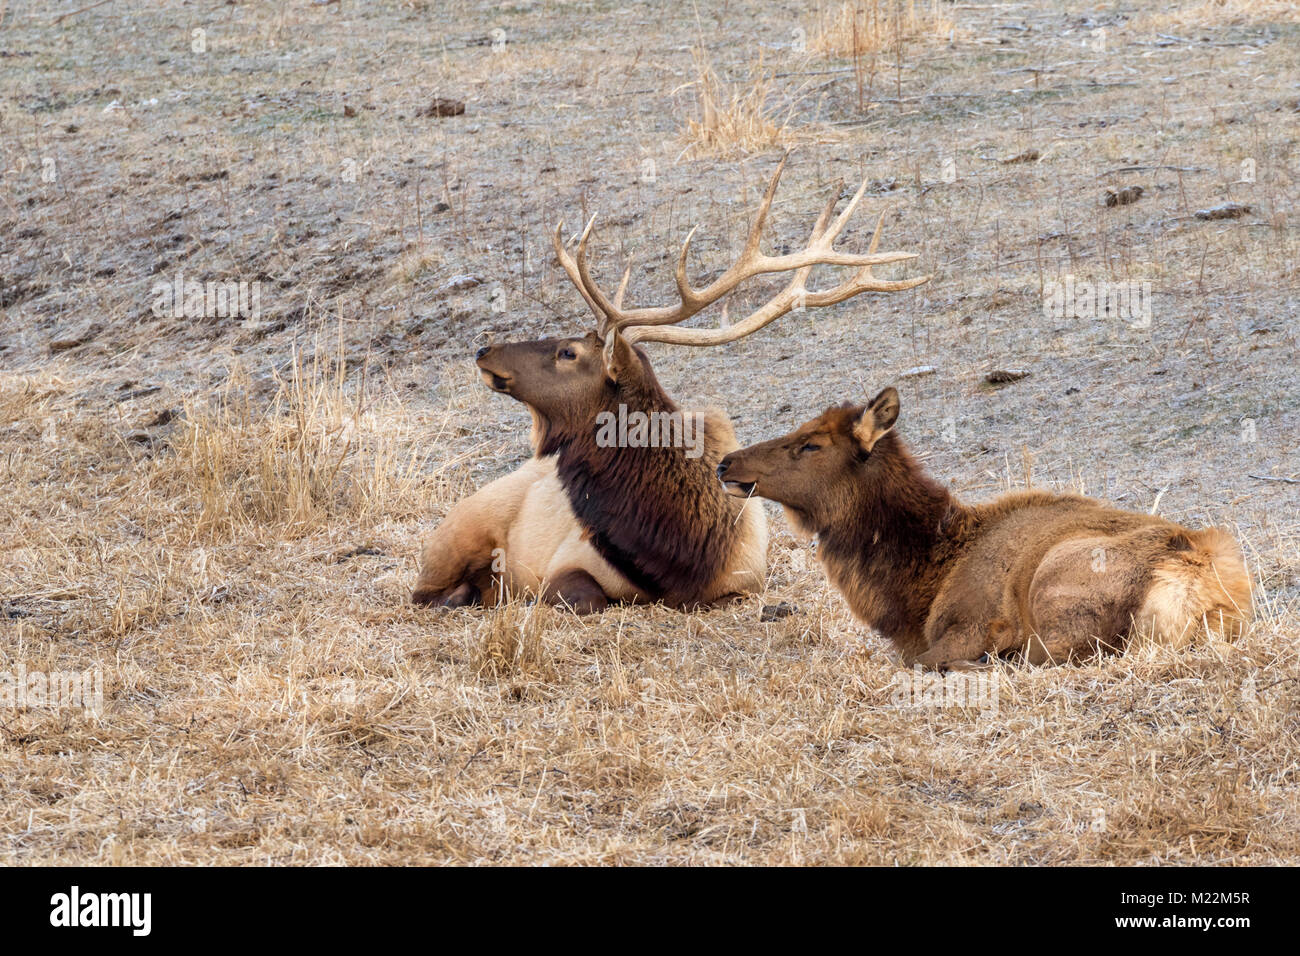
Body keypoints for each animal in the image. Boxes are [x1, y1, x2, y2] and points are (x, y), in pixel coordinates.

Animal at [410, 153, 930, 608]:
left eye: (568, 352)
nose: (484, 349)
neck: (678, 548)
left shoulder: (743, 580)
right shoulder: (565, 562)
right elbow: (577, 596)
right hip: (454, 536)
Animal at [717, 390, 1253, 665]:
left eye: (811, 444)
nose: (726, 463)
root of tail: (1197, 590)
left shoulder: (968, 623)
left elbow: (925, 659)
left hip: (1057, 580)